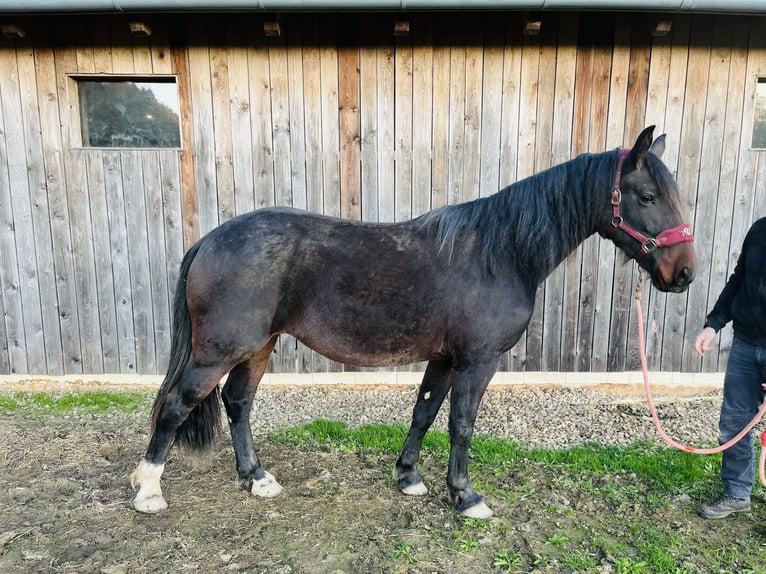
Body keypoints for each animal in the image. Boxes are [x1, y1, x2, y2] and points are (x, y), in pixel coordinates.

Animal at [134, 127, 704, 520]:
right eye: (647, 196)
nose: (684, 274)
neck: (499, 253)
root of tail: (211, 239)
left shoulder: (445, 358)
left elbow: (424, 413)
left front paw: (408, 477)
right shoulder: (477, 361)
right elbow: (461, 424)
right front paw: (466, 496)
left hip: (258, 346)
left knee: (238, 403)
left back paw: (256, 478)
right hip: (220, 349)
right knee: (177, 404)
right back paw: (148, 489)